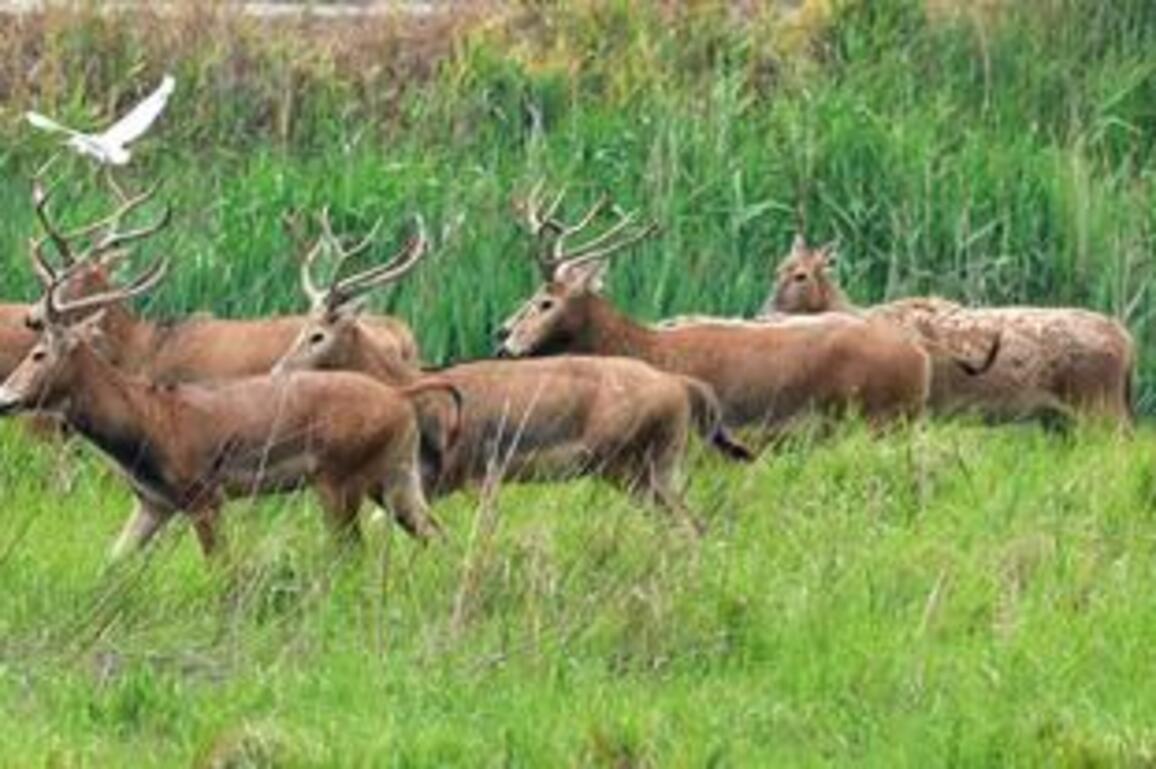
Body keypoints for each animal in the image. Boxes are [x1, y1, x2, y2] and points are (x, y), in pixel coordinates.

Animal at [0, 252, 461, 561]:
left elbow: (222, 568)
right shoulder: (153, 503)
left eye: (39, 353)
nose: (6, 397)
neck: (148, 421)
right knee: (436, 535)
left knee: (350, 552)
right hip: (396, 476)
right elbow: (112, 561)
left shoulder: (204, 494)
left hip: (339, 478)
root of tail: (399, 396)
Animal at [271, 210, 753, 534]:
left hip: (629, 460)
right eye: (300, 327)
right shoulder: (433, 481)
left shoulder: (477, 470)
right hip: (659, 464)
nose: (277, 372)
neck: (414, 389)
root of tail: (683, 386)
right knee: (693, 525)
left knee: (688, 525)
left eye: (317, 335)